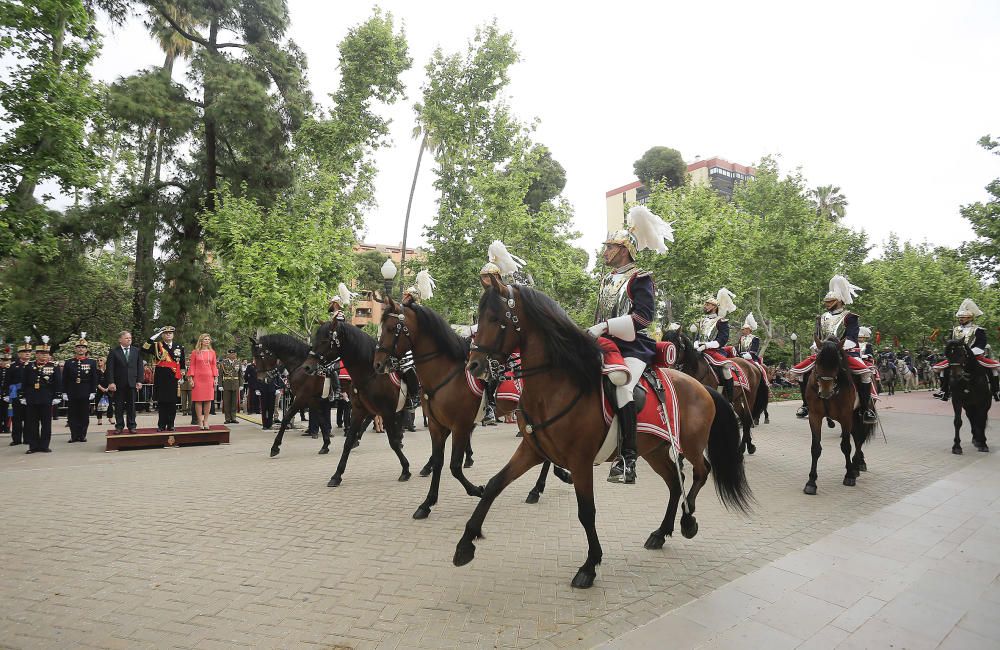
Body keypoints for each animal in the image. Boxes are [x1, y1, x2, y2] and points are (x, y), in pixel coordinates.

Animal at [304, 318, 414, 486]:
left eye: (324, 340)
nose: (307, 367)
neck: (370, 374)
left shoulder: (387, 412)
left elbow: (392, 442)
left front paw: (405, 469)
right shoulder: (359, 410)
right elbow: (348, 441)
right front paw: (337, 475)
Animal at [456, 278, 752, 588]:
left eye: (495, 318)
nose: (473, 365)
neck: (557, 387)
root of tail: (700, 386)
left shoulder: (581, 461)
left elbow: (586, 511)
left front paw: (590, 564)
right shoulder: (532, 450)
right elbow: (494, 485)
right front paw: (466, 543)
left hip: (691, 444)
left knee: (701, 470)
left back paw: (688, 517)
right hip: (655, 451)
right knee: (675, 482)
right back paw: (661, 532)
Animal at [660, 326, 768, 454]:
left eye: (675, 345)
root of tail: (753, 366)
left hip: (750, 397)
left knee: (747, 419)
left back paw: (745, 447)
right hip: (737, 399)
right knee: (743, 417)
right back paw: (747, 446)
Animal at [800, 336, 872, 494]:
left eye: (837, 362)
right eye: (817, 361)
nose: (825, 392)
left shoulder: (846, 417)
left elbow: (846, 446)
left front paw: (849, 475)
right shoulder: (815, 416)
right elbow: (815, 448)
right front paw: (811, 482)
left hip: (858, 415)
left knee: (860, 438)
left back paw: (857, 465)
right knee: (857, 437)